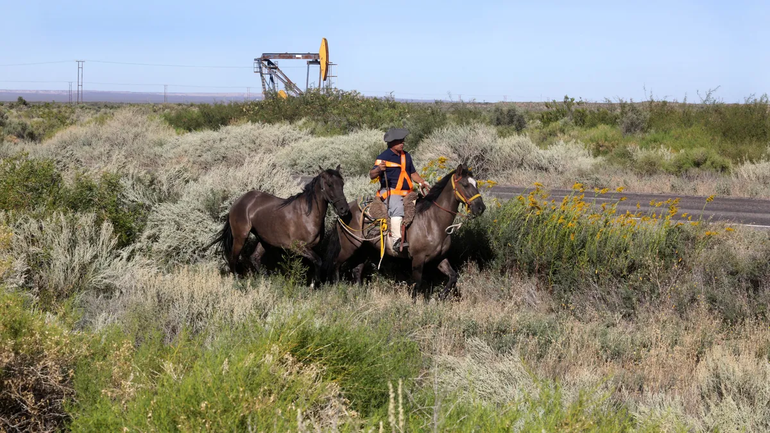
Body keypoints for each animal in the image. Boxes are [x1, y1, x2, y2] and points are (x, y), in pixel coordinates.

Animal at [213, 165, 352, 284]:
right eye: (329, 184)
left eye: (342, 184)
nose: (344, 209)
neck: (307, 214)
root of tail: (238, 201)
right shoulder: (299, 247)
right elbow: (318, 261)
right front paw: (313, 285)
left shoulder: (308, 249)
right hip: (240, 237)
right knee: (233, 258)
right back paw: (237, 282)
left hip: (264, 240)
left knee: (254, 258)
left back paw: (267, 280)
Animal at [326, 164, 486, 298]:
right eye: (465, 184)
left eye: (476, 183)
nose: (480, 207)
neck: (432, 220)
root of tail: (344, 211)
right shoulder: (417, 259)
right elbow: (416, 285)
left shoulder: (439, 257)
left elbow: (453, 276)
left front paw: (441, 295)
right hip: (348, 247)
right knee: (335, 264)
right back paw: (337, 289)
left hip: (365, 249)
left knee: (356, 270)